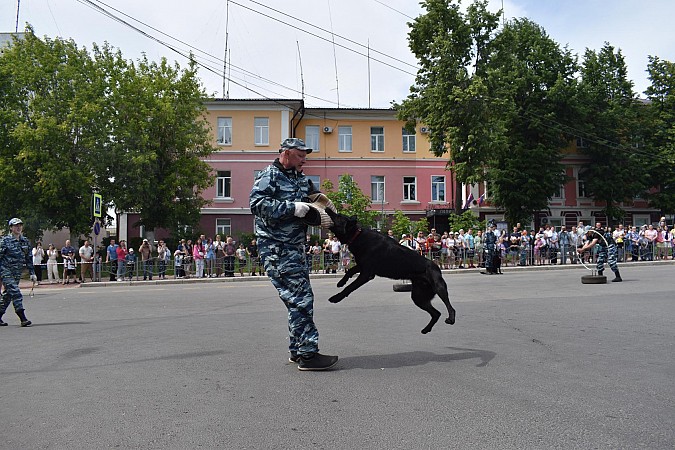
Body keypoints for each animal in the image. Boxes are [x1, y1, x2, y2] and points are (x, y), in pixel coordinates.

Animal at [324, 208, 456, 334]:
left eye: (339, 216)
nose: (327, 208)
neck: (357, 235)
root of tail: (437, 266)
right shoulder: (362, 265)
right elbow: (349, 271)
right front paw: (341, 282)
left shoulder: (366, 273)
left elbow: (350, 287)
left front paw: (337, 297)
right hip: (418, 297)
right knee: (436, 313)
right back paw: (426, 329)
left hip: (438, 288)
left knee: (450, 307)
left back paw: (451, 319)